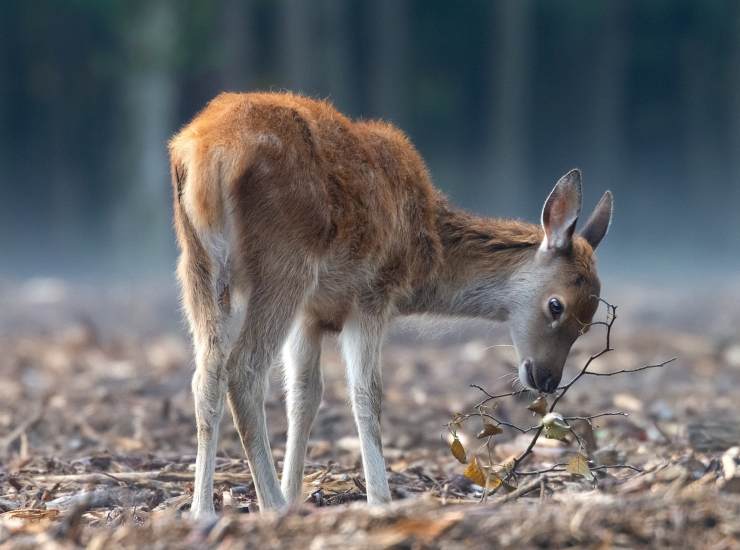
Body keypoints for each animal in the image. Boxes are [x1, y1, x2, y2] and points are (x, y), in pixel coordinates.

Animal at [169, 92, 612, 520]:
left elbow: (304, 395)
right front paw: (378, 500)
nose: (547, 379)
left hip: (198, 266)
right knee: (244, 369)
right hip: (284, 264)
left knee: (206, 374)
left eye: (588, 321)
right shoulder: (372, 294)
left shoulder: (311, 314)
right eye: (556, 305)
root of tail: (207, 154)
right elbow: (367, 394)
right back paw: (270, 506)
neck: (425, 253)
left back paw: (203, 511)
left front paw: (296, 494)